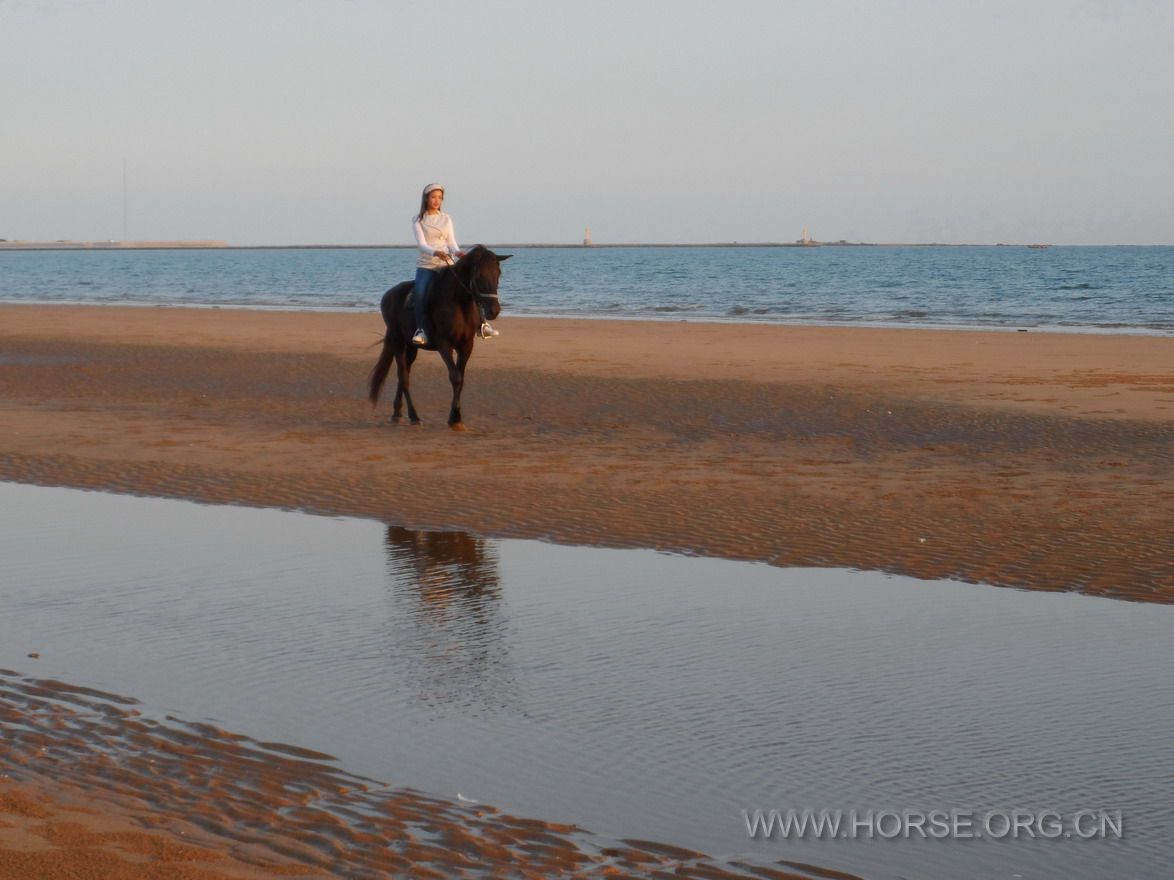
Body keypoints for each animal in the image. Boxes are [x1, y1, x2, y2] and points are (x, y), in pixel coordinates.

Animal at [366, 245, 509, 431]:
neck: (458, 303)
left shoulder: (466, 346)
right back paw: (414, 417)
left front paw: (456, 418)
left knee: (403, 375)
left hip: (411, 347)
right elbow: (455, 377)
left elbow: (461, 379)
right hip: (397, 341)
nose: (494, 311)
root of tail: (388, 295)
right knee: (404, 377)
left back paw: (397, 413)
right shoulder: (444, 344)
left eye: (498, 273)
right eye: (479, 276)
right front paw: (455, 418)